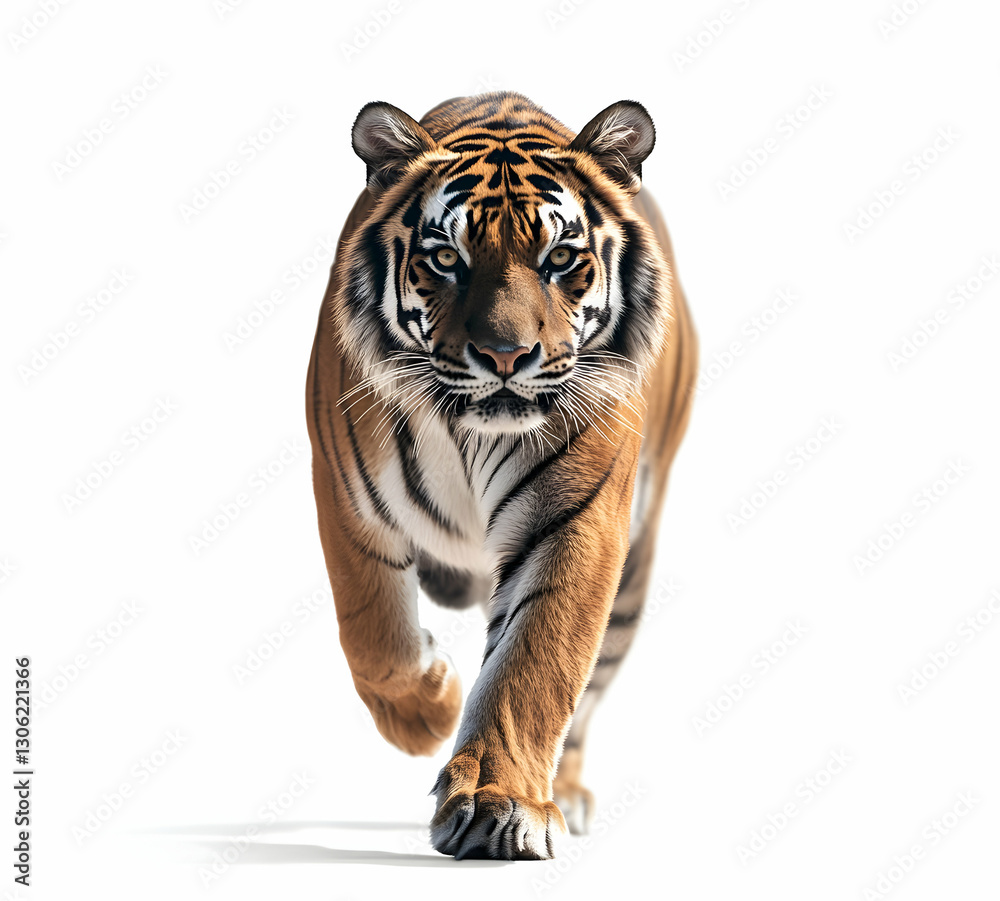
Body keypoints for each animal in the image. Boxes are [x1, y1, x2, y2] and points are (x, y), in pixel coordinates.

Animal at [305, 92, 697, 861]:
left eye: (561, 258)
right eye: (445, 259)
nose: (506, 355)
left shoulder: (575, 520)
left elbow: (534, 665)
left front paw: (502, 804)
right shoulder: (347, 499)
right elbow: (374, 634)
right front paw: (426, 713)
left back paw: (563, 792)